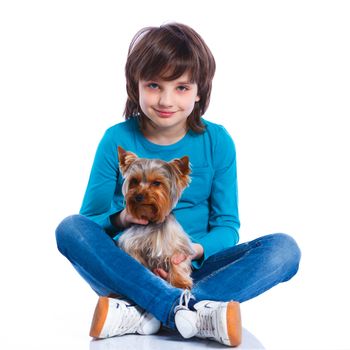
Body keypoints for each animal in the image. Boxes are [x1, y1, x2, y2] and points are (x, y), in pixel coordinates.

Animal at [117, 146, 194, 288]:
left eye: (157, 183)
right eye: (134, 181)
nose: (138, 196)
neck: (151, 221)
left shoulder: (177, 247)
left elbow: (177, 262)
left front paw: (180, 282)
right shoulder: (131, 245)